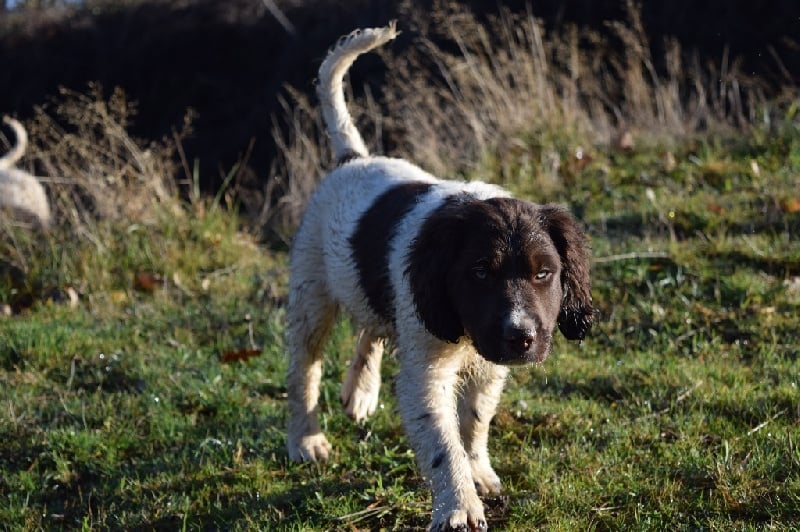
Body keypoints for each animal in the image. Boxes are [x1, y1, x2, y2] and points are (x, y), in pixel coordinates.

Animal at [282, 23, 592, 532]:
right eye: (480, 272)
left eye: (544, 273)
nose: (522, 339)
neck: (464, 331)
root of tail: (353, 158)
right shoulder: (426, 370)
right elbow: (443, 443)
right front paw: (459, 506)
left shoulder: (488, 362)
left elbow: (474, 421)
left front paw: (479, 472)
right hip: (312, 292)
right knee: (304, 369)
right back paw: (305, 440)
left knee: (372, 324)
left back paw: (359, 392)